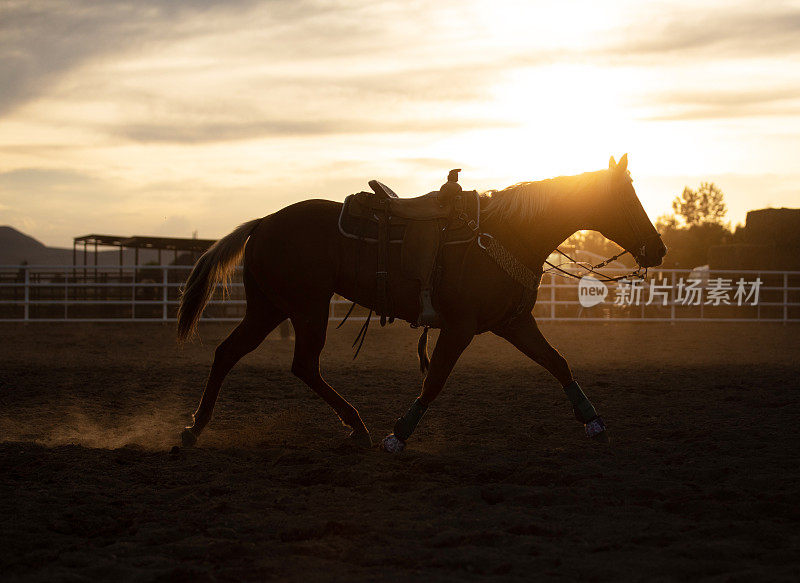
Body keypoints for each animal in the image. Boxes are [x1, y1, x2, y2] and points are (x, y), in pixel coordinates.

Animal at [177, 154, 668, 452]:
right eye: (627, 197)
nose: (658, 249)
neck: (506, 234)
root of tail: (263, 222)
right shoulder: (460, 327)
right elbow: (434, 382)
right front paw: (398, 435)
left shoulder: (513, 322)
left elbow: (558, 363)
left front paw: (593, 421)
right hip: (304, 307)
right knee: (300, 365)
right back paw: (356, 425)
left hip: (269, 308)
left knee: (230, 354)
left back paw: (195, 429)